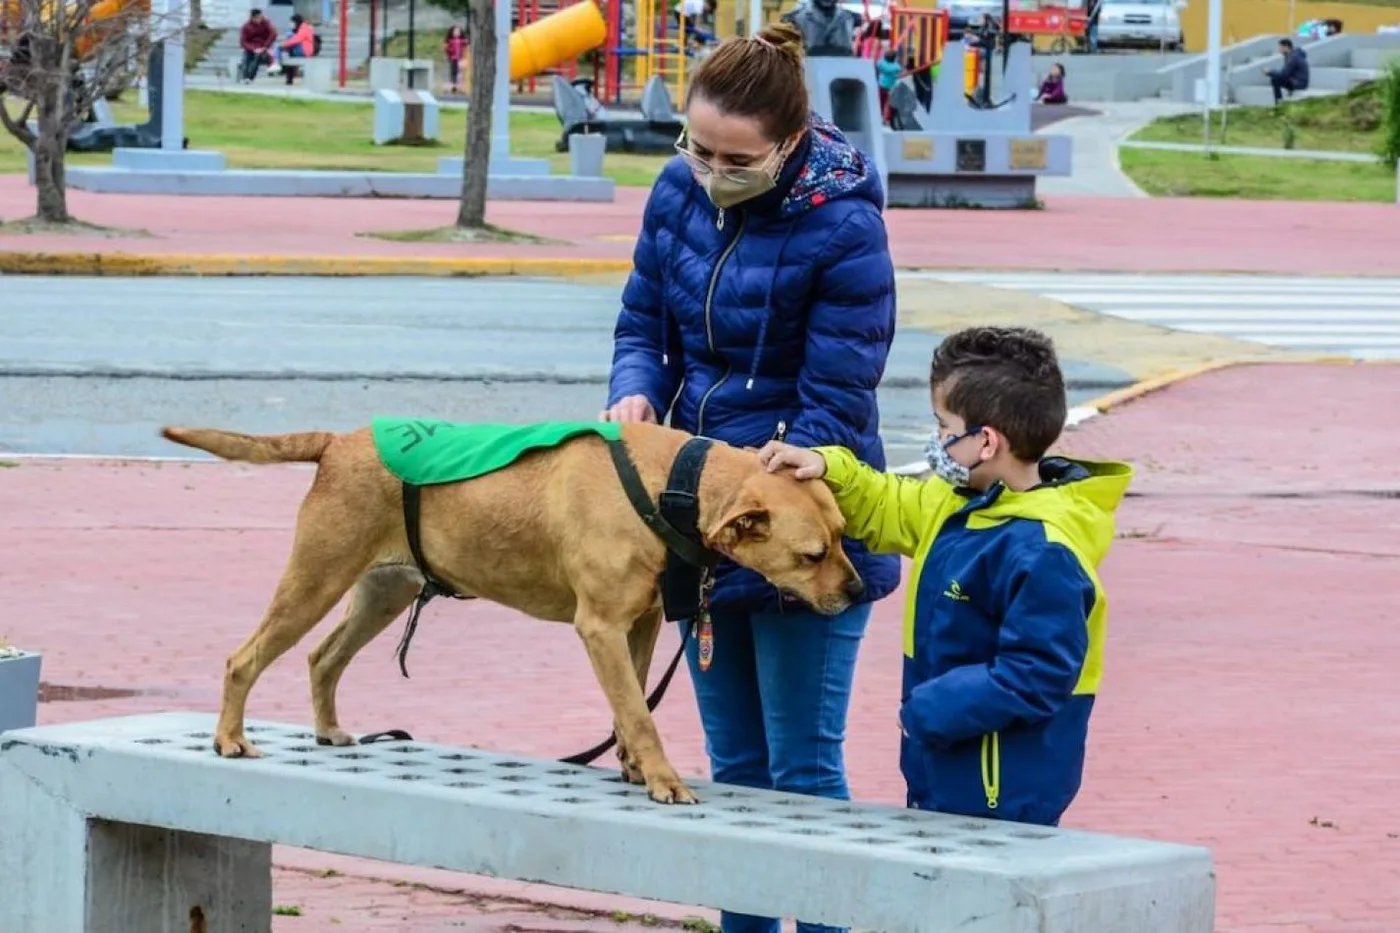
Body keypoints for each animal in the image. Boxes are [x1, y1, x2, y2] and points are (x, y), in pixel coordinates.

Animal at [161, 420, 862, 801]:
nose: (858, 593)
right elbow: (639, 713)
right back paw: (229, 738)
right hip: (317, 576)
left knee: (322, 656)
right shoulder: (601, 627)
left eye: (844, 536)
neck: (674, 483)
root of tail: (337, 443)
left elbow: (631, 703)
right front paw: (663, 778)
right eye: (812, 553)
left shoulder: (638, 626)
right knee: (245, 657)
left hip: (381, 592)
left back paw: (328, 728)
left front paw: (635, 768)